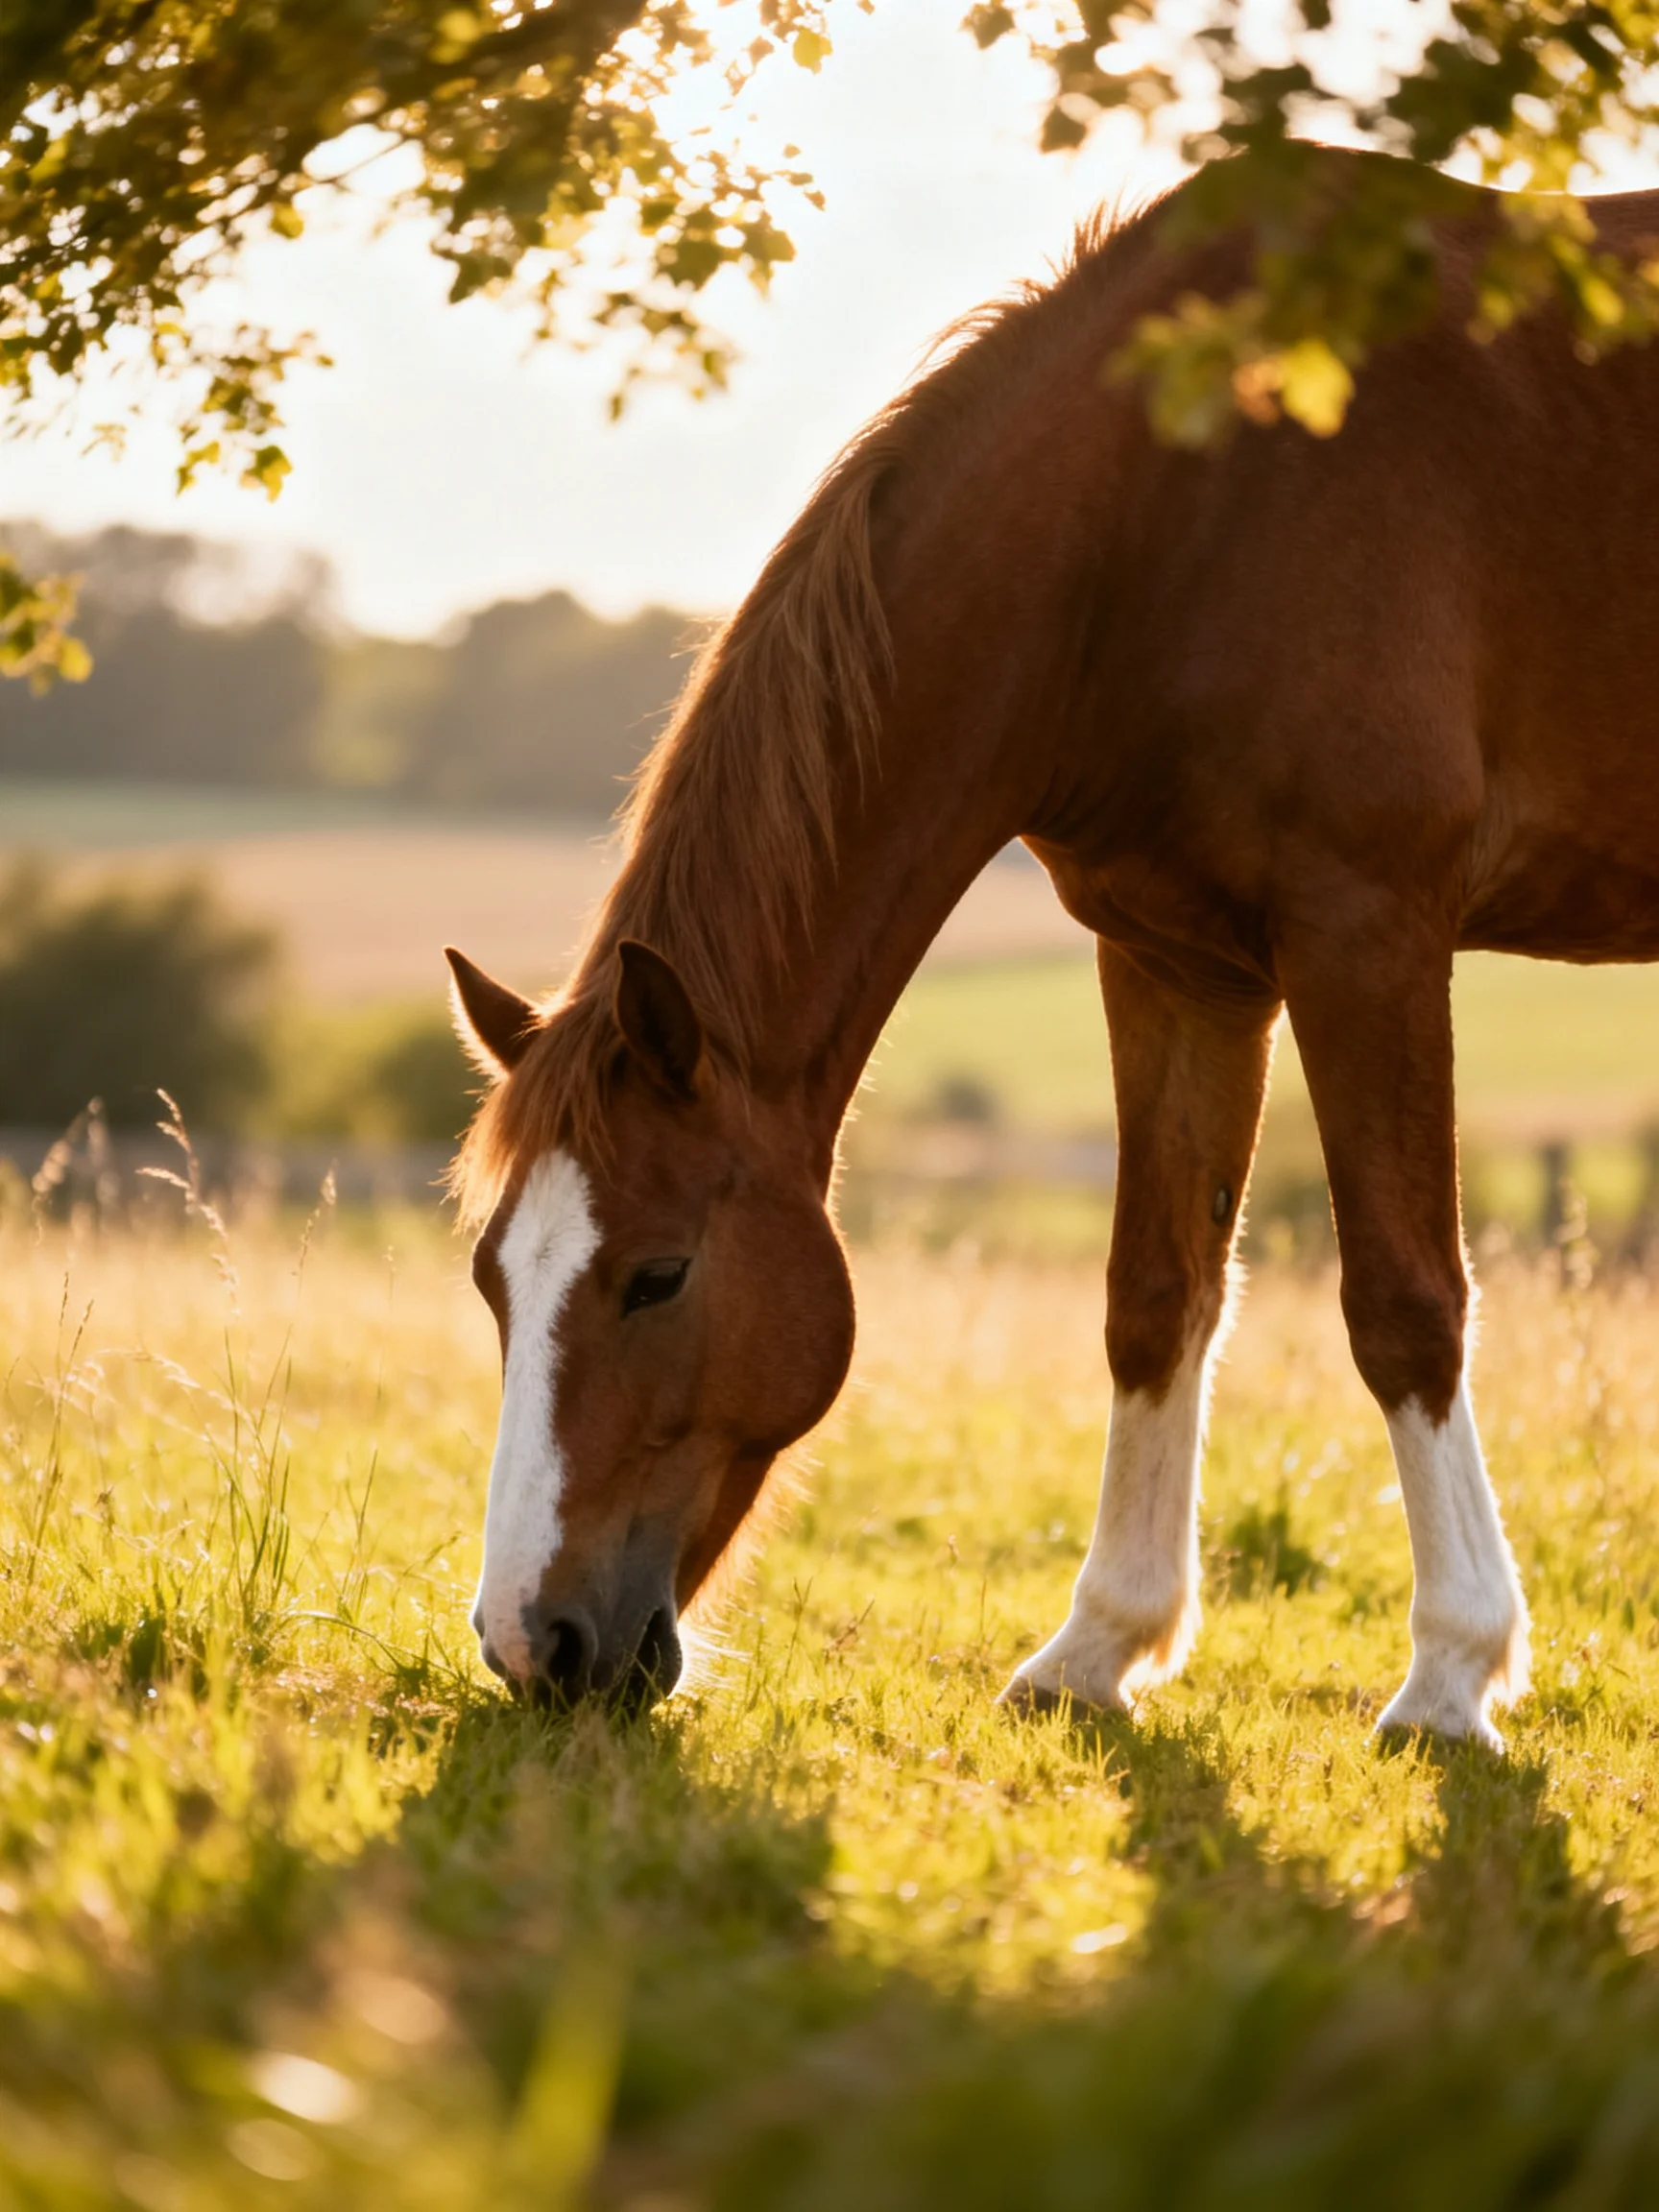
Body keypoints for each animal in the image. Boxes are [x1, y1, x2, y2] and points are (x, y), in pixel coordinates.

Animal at [447, 146, 1659, 1749]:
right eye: (492, 1278)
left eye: (659, 1275)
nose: (534, 1643)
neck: (1186, 495)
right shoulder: (1177, 963)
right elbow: (1156, 1296)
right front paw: (1101, 1647)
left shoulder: (1369, 931)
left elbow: (1405, 1300)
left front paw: (1455, 1671)